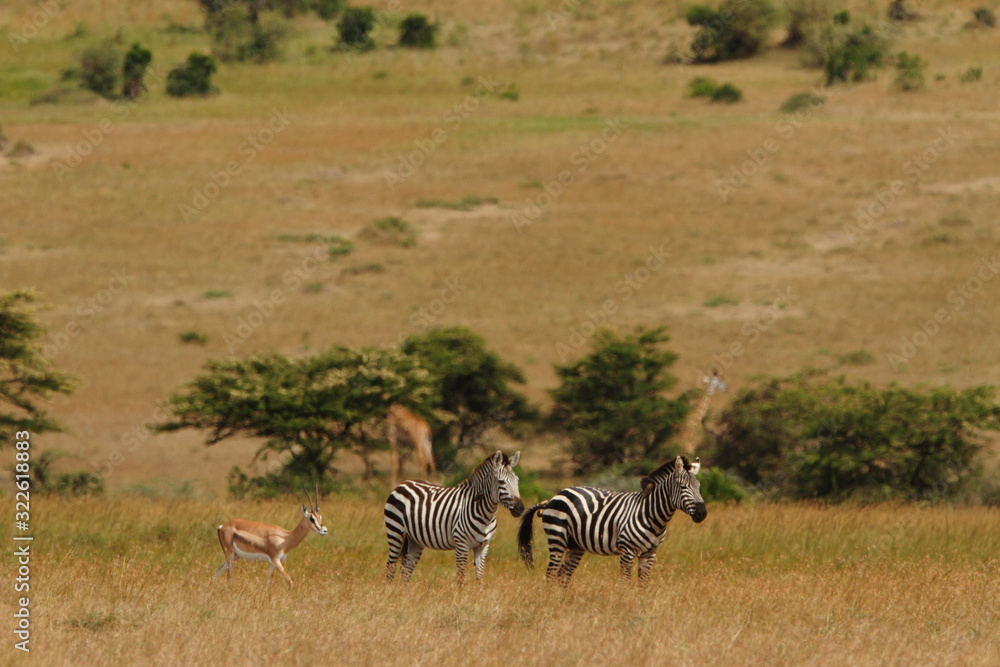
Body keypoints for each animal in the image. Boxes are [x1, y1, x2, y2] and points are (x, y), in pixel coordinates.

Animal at [384, 450, 524, 584]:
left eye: (517, 480)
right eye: (501, 482)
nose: (520, 508)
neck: (486, 515)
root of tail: (405, 483)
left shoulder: (483, 546)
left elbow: (480, 577)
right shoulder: (462, 544)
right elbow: (461, 577)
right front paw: (461, 593)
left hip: (414, 540)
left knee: (407, 568)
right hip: (395, 532)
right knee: (391, 566)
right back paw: (389, 591)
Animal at [518, 455, 706, 586]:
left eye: (699, 487)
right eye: (683, 487)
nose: (702, 513)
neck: (652, 515)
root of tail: (554, 496)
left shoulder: (650, 553)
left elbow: (643, 584)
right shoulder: (627, 551)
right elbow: (625, 582)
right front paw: (625, 604)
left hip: (575, 545)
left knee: (562, 575)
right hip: (557, 537)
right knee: (550, 574)